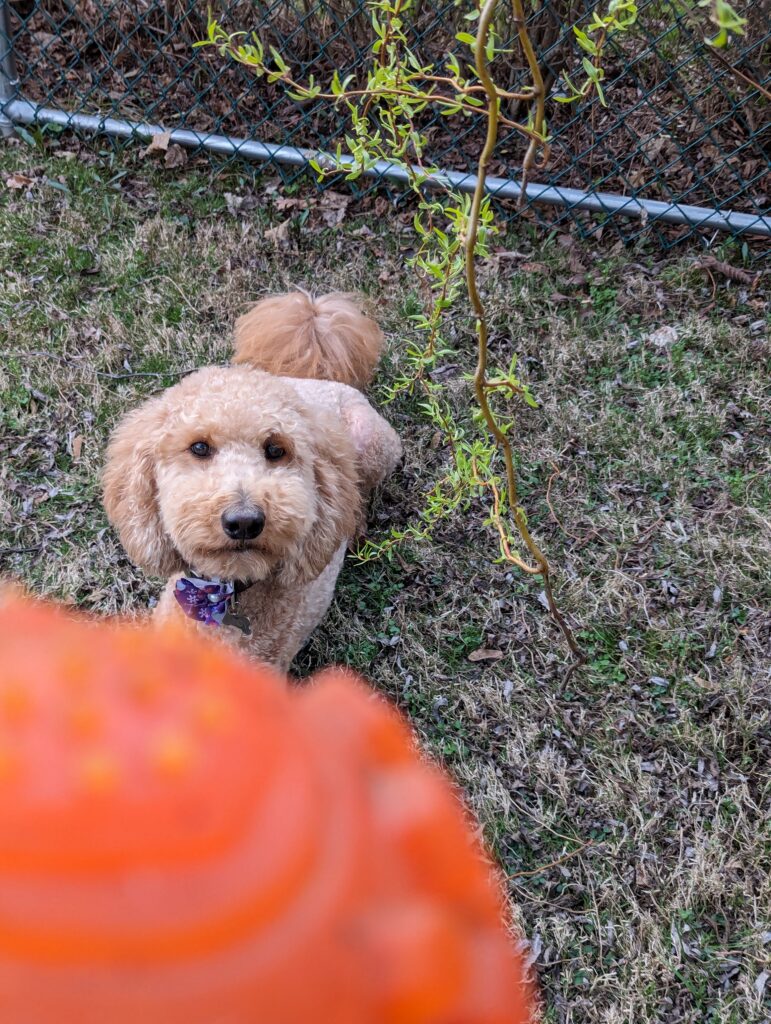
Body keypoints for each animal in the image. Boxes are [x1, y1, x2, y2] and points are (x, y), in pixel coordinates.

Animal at [102, 292, 399, 667]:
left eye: (276, 450)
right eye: (199, 447)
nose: (244, 522)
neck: (226, 596)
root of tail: (317, 378)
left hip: (374, 443)